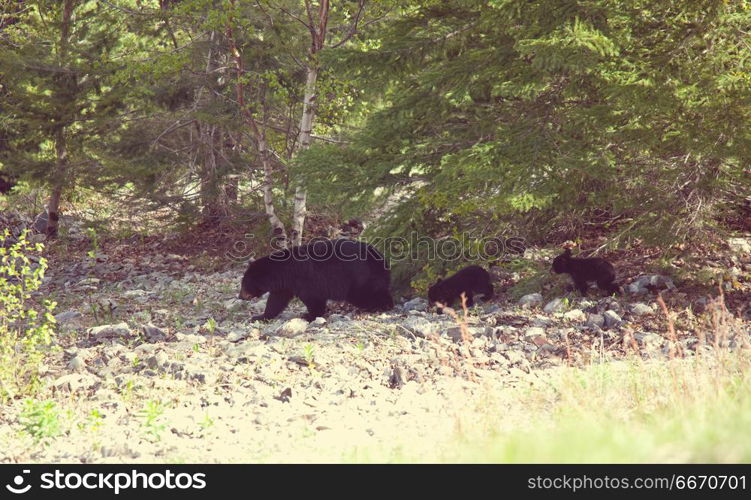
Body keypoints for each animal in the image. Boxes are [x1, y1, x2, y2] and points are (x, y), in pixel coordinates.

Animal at [239, 238, 394, 320]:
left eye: (244, 284)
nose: (240, 296)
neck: (283, 272)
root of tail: (380, 257)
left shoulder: (305, 280)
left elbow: (313, 299)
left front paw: (309, 315)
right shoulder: (285, 286)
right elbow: (276, 301)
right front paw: (260, 316)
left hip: (360, 278)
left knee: (368, 294)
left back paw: (381, 306)